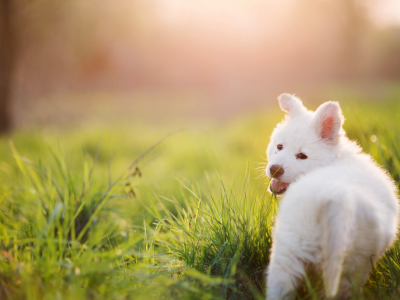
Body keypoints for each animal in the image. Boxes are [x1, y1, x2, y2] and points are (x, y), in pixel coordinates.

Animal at [264, 94, 398, 300]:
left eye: (302, 156)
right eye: (279, 146)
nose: (275, 169)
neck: (334, 159)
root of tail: (334, 197)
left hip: (293, 249)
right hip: (348, 263)